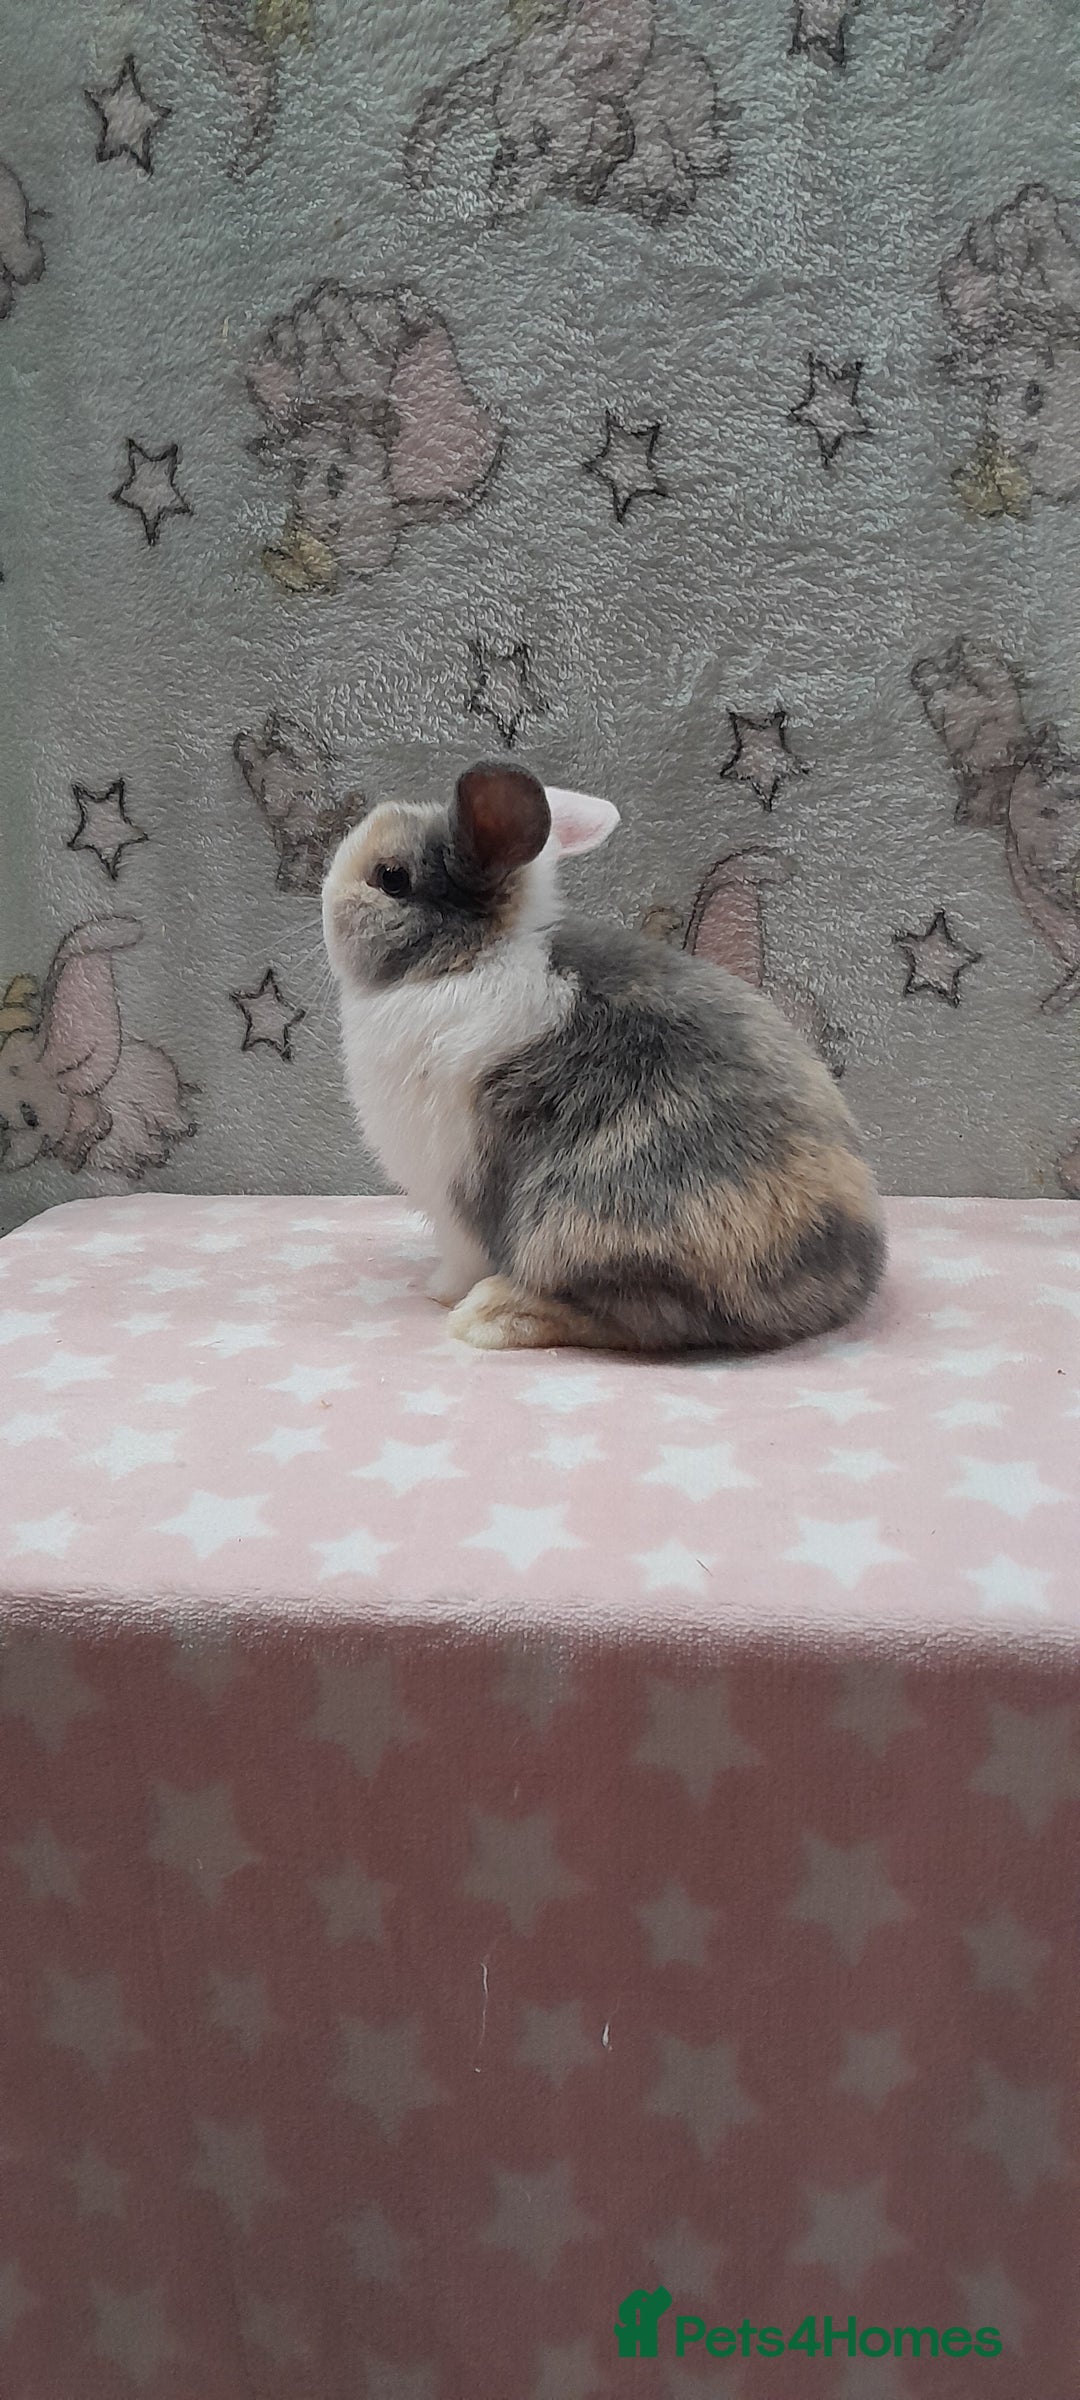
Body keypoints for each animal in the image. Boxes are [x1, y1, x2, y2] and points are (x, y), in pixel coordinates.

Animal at [322, 765, 886, 1352]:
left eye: (390, 877)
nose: (326, 890)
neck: (466, 959)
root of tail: (836, 1287)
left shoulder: (455, 1189)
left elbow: (462, 1253)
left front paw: (439, 1292)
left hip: (580, 1222)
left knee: (638, 1317)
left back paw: (489, 1315)